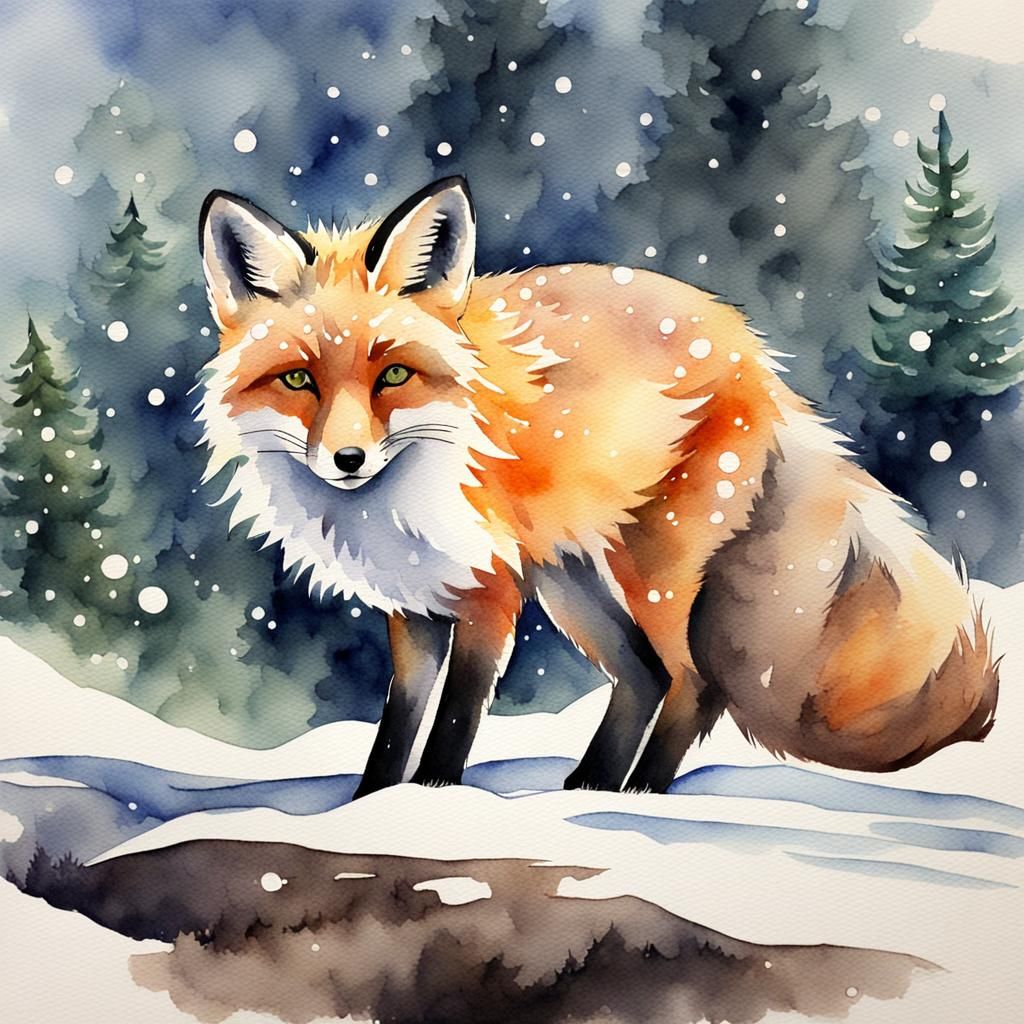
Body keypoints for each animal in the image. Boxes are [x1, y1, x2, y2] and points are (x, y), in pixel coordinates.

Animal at [195, 176, 999, 798]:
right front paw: (373, 807)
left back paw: (638, 798)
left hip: (652, 569)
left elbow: (454, 722)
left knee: (692, 681)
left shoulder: (491, 593)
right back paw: (589, 791)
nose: (348, 458)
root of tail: (753, 348)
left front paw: (435, 802)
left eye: (393, 373)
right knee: (643, 675)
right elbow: (395, 728)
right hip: (570, 577)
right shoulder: (415, 602)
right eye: (298, 379)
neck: (407, 489)